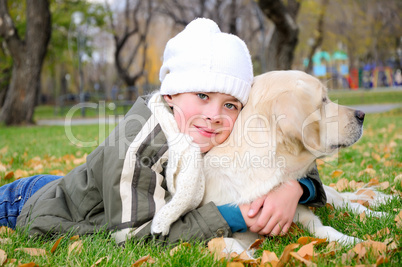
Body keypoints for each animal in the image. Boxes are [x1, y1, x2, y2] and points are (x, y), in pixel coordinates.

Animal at [201, 70, 390, 254]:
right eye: (323, 100)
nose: (362, 115)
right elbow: (228, 242)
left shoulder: (299, 212)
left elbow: (326, 229)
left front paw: (357, 243)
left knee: (351, 203)